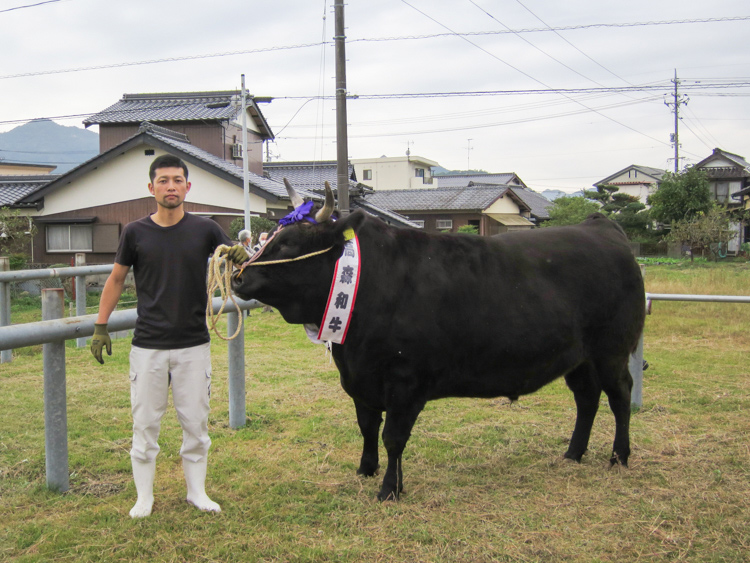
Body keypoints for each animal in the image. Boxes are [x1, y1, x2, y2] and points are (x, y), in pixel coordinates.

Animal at [232, 202, 648, 498]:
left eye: (288, 243)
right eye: (267, 239)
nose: (237, 277)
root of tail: (599, 224)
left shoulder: (405, 381)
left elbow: (393, 436)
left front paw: (389, 489)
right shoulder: (361, 380)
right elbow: (367, 427)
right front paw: (366, 470)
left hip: (612, 351)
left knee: (620, 397)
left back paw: (619, 457)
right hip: (579, 358)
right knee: (587, 399)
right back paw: (573, 454)